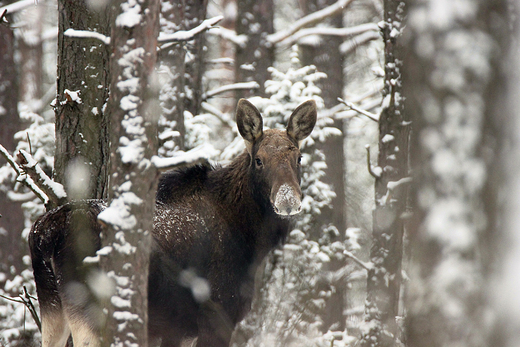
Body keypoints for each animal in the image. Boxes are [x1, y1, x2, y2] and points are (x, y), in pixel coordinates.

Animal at [30, 98, 318, 347]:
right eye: (259, 160)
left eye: (299, 158)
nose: (288, 201)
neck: (251, 240)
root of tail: (44, 234)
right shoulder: (218, 316)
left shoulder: (179, 329)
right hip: (90, 308)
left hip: (52, 307)